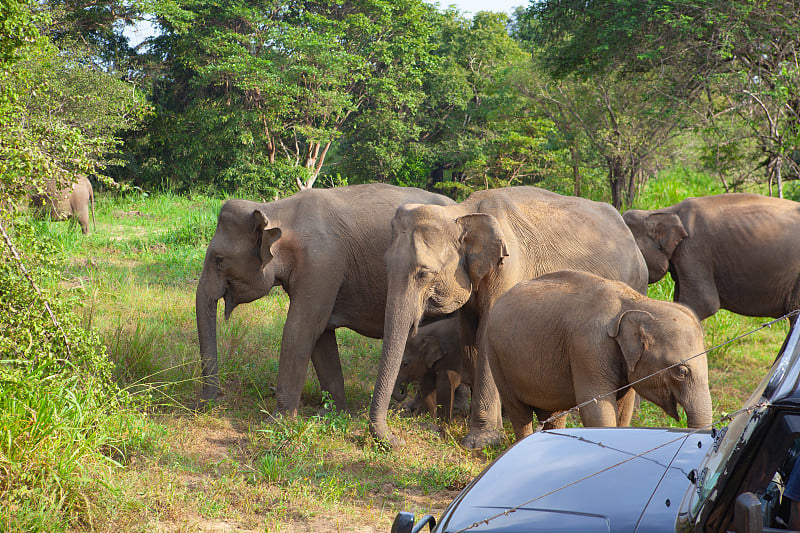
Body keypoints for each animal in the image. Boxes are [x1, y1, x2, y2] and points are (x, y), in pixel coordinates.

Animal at [196, 183, 454, 412]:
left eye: (219, 260)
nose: (208, 402)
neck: (277, 210)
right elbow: (321, 335)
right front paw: (332, 413)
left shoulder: (322, 264)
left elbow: (301, 329)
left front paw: (277, 420)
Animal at [368, 185, 648, 446]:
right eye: (385, 265)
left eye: (423, 273)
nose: (397, 440)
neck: (462, 213)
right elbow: (470, 340)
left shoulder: (509, 269)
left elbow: (486, 335)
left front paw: (480, 441)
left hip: (635, 288)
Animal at [482, 270, 712, 440]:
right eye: (681, 371)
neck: (636, 302)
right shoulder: (588, 348)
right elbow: (597, 409)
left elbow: (624, 410)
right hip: (495, 355)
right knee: (518, 412)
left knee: (552, 413)